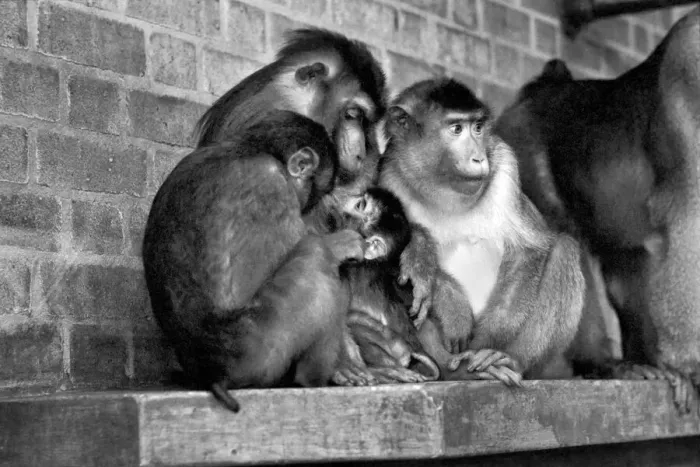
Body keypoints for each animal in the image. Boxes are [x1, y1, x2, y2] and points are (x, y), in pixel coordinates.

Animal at [142, 111, 367, 412]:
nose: (306, 203)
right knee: (318, 256)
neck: (250, 149)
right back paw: (313, 377)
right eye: (314, 189)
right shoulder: (273, 185)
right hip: (261, 351)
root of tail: (212, 375)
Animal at [332, 187, 440, 385]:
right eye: (360, 199)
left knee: (351, 320)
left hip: (393, 345)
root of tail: (414, 347)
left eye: (360, 205)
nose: (348, 196)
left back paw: (382, 371)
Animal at [378, 78, 585, 386]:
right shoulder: (390, 171)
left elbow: (528, 250)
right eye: (456, 129)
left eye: (477, 128)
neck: (443, 189)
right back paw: (456, 370)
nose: (478, 158)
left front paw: (483, 347)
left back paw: (507, 361)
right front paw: (432, 278)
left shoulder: (505, 164)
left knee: (564, 250)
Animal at [494, 8, 700, 413]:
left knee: (626, 265)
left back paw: (645, 361)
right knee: (565, 242)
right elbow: (688, 220)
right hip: (523, 154)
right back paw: (604, 363)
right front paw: (690, 363)